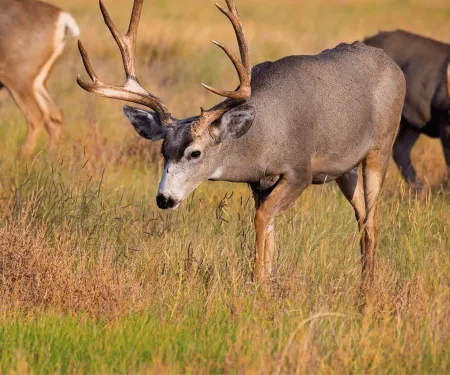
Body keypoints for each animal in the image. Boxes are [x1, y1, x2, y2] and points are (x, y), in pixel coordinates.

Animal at [0, 0, 80, 155]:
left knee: (36, 116)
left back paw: (22, 159)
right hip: (37, 82)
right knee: (55, 116)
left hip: (17, 77)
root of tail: (62, 17)